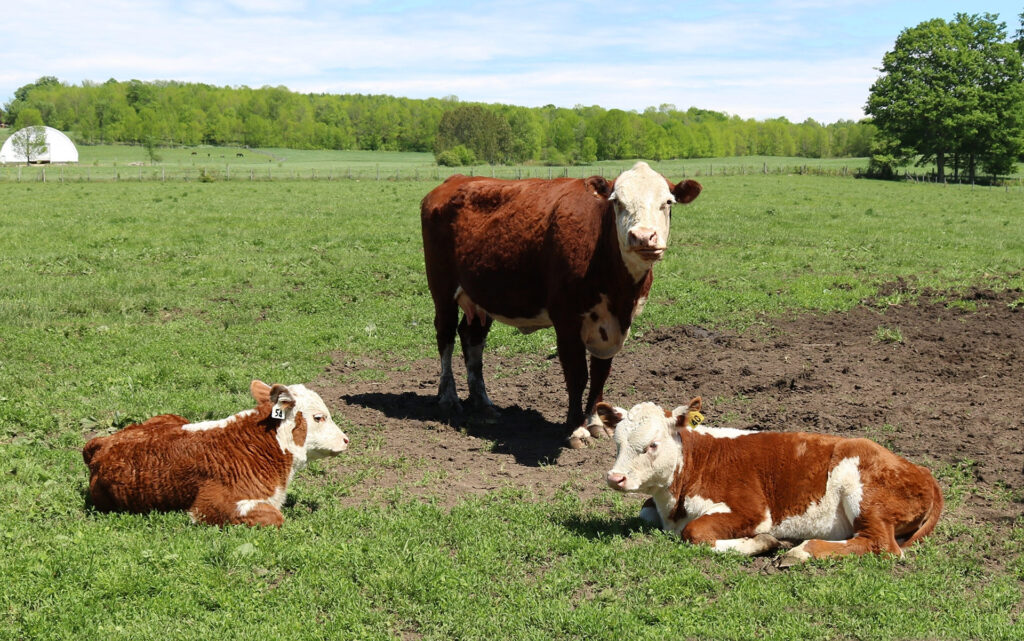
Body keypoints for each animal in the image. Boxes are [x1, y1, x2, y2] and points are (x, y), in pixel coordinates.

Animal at [419, 161, 700, 446]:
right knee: (445, 336)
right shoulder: (566, 319)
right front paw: (575, 429)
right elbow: (577, 374)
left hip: (481, 296)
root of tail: (454, 180)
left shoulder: (613, 326)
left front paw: (596, 421)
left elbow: (600, 373)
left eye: (667, 202)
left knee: (472, 338)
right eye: (617, 202)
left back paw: (483, 402)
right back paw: (449, 398)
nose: (643, 237)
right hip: (441, 287)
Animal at [598, 399, 942, 565]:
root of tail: (922, 471)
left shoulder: (752, 510)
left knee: (882, 545)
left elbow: (695, 533)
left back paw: (800, 552)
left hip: (863, 493)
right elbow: (646, 512)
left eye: (652, 444)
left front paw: (764, 541)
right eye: (617, 443)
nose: (615, 478)